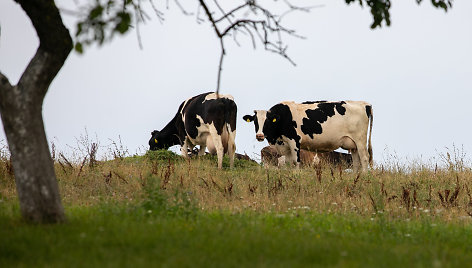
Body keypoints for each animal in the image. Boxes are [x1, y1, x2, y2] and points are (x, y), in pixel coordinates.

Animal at [243, 100, 372, 172]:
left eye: (268, 121)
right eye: (255, 121)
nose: (259, 135)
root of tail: (363, 103)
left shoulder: (294, 141)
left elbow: (296, 162)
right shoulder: (286, 146)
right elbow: (288, 163)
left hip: (360, 140)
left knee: (365, 159)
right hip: (353, 145)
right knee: (356, 162)